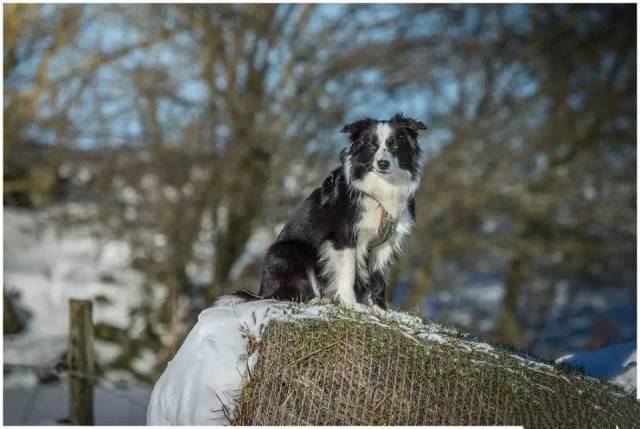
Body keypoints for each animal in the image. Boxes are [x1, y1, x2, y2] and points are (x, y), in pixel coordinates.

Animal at [219, 112, 424, 310]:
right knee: (285, 295)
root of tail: (262, 291)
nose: (382, 164)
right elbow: (348, 273)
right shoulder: (343, 238)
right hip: (290, 251)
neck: (381, 190)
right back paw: (316, 300)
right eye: (372, 147)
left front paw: (381, 310)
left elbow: (379, 279)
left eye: (394, 144)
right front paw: (351, 305)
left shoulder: (385, 244)